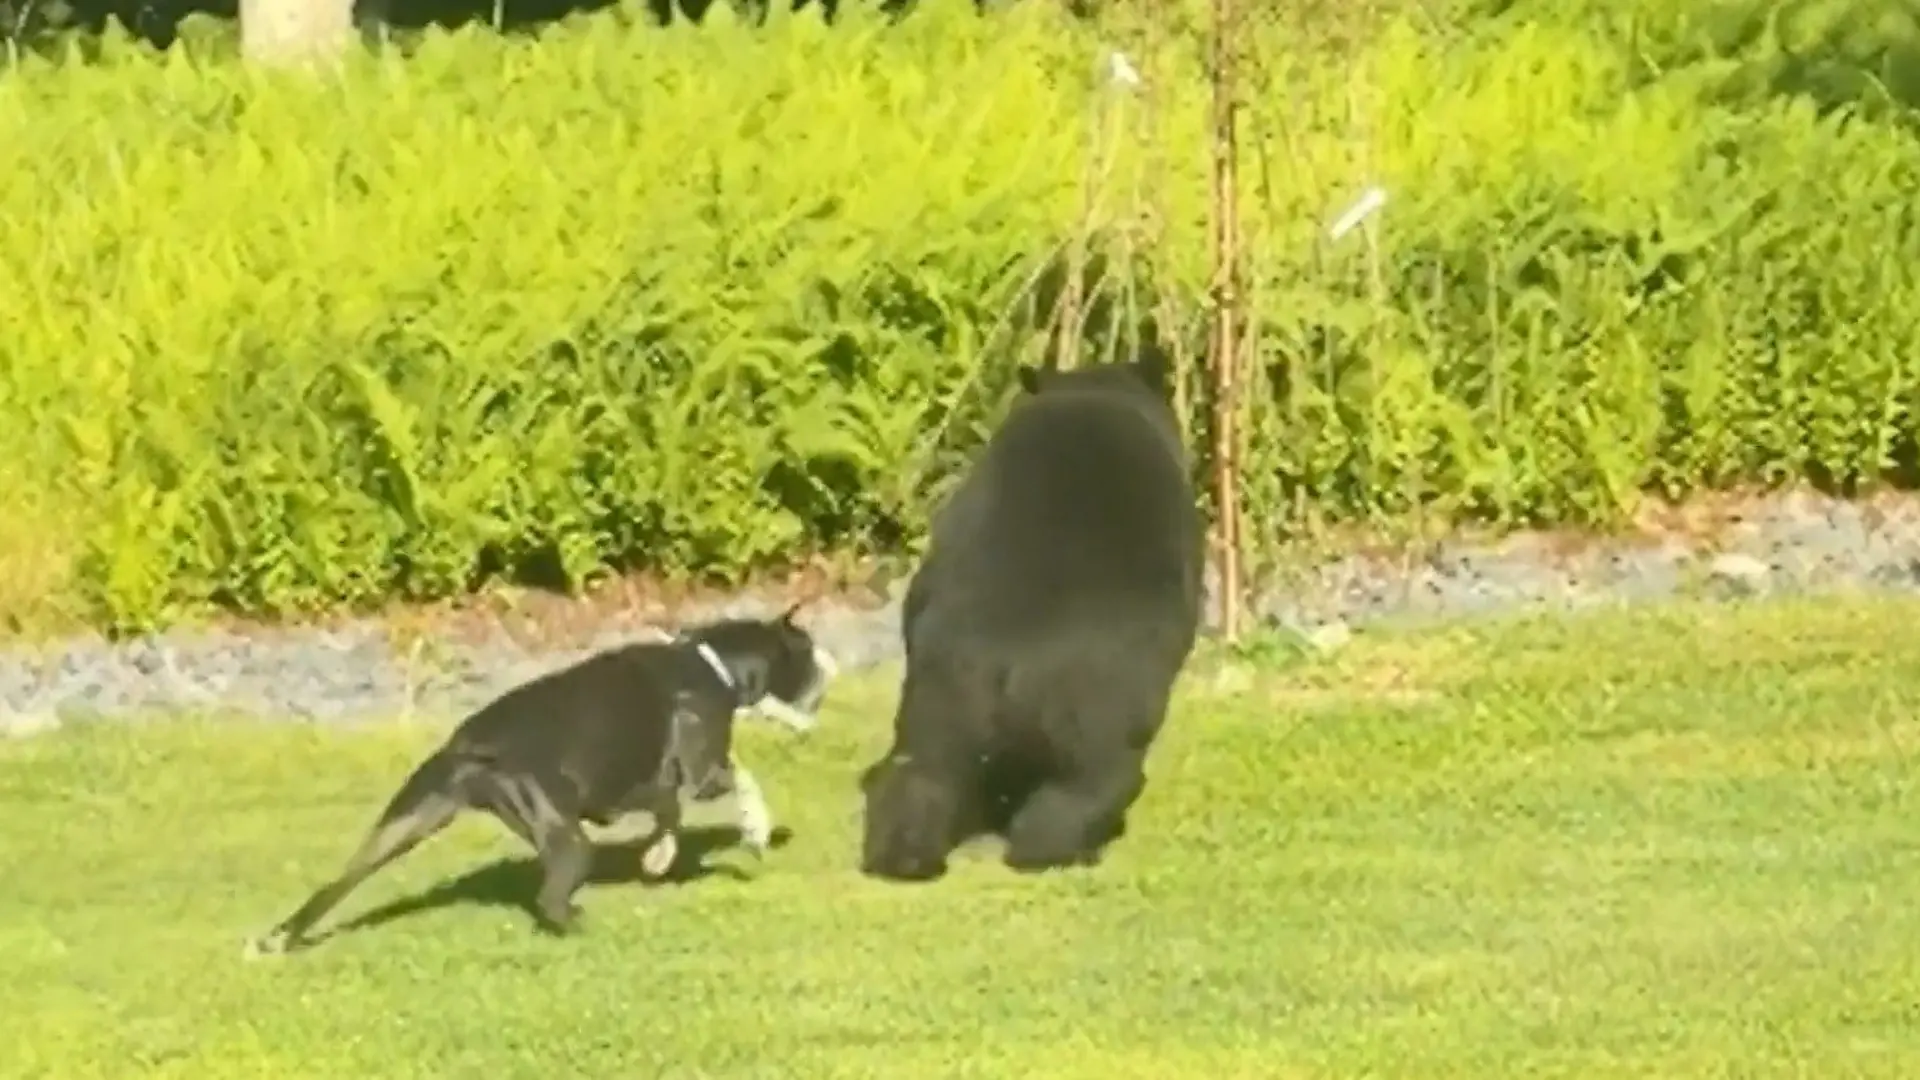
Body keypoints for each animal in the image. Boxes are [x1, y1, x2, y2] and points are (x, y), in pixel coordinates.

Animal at [858, 345, 1206, 882]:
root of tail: (1006, 660)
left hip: (938, 689)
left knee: (921, 771)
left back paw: (904, 855)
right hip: (1097, 698)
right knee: (1086, 780)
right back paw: (1061, 849)